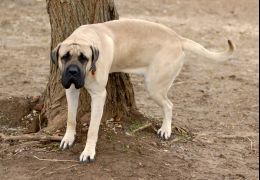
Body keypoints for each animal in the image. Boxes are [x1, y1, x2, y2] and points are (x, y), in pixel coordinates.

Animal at [50, 18, 236, 163]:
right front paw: (68, 138)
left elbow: (92, 130)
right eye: (64, 57)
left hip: (154, 86)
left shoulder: (99, 95)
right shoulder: (71, 90)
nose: (73, 71)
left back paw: (166, 129)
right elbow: (70, 118)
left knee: (169, 105)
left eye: (84, 58)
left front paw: (88, 152)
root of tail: (178, 38)